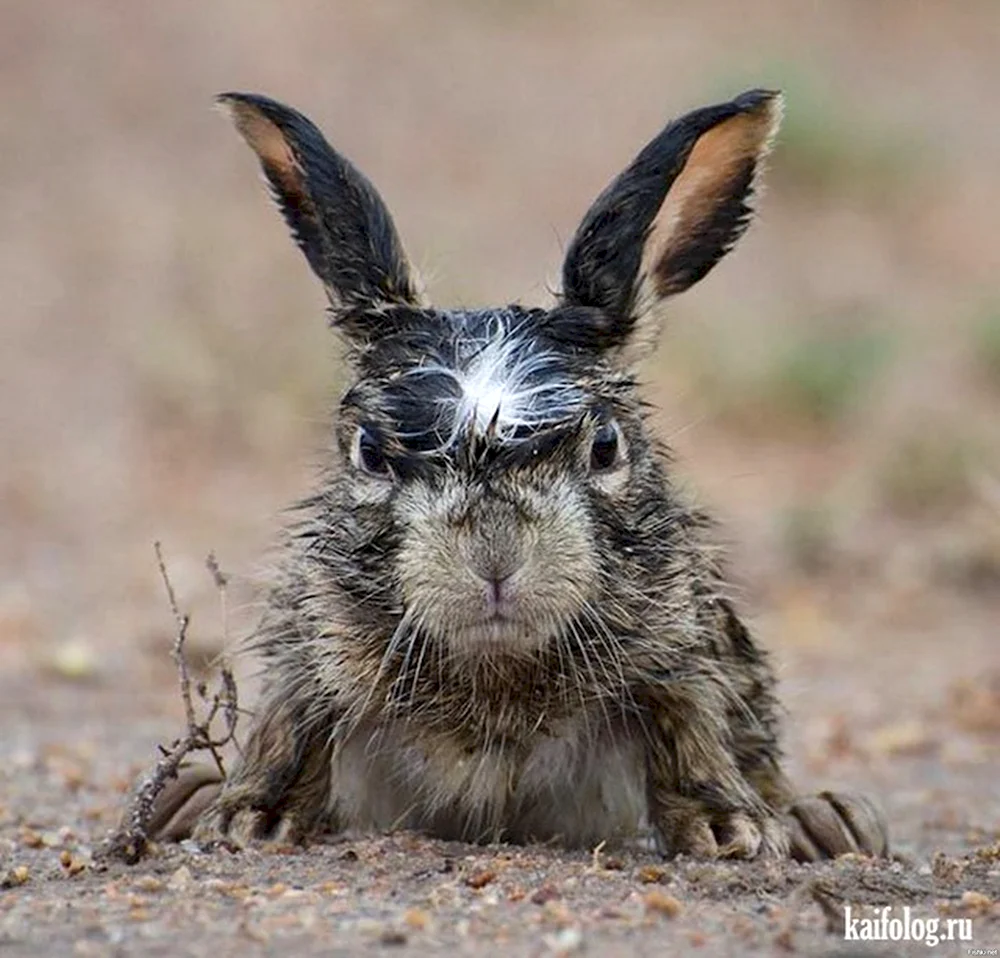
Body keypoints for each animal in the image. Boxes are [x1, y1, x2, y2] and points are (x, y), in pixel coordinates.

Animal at [147, 89, 888, 862]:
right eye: (370, 451)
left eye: (605, 444)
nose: (495, 558)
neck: (498, 665)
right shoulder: (309, 639)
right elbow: (292, 725)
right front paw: (251, 818)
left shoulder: (680, 654)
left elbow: (692, 727)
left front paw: (728, 830)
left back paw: (824, 822)